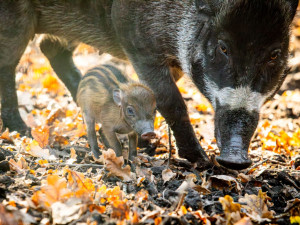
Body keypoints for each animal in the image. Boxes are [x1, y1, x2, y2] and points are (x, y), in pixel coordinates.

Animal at [0, 0, 296, 169]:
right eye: (223, 47)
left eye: (274, 54)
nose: (234, 160)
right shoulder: (138, 46)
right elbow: (170, 102)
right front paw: (199, 161)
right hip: (16, 21)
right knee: (9, 63)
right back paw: (21, 130)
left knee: (51, 48)